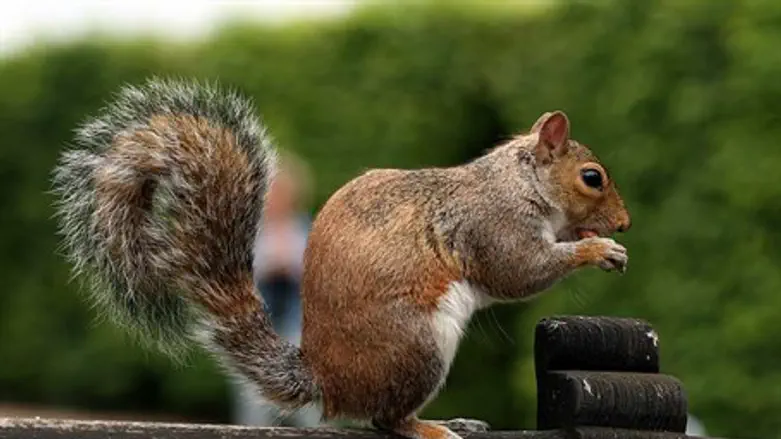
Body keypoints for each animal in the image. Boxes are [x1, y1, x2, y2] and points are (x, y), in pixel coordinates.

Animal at [52, 78, 631, 439]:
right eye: (592, 178)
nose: (624, 224)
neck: (520, 181)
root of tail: (325, 380)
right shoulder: (492, 225)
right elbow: (519, 272)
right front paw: (595, 248)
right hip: (417, 346)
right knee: (385, 419)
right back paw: (430, 427)